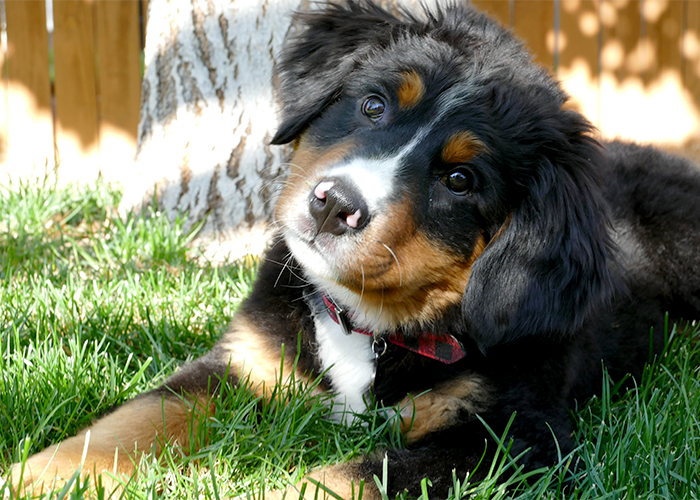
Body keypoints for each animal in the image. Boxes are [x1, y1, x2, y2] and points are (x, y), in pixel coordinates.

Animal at [9, 0, 700, 498]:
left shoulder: (515, 437)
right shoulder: (243, 362)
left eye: (460, 179)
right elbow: (129, 422)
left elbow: (352, 476)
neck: (366, 324)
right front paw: (30, 476)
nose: (333, 204)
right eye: (372, 105)